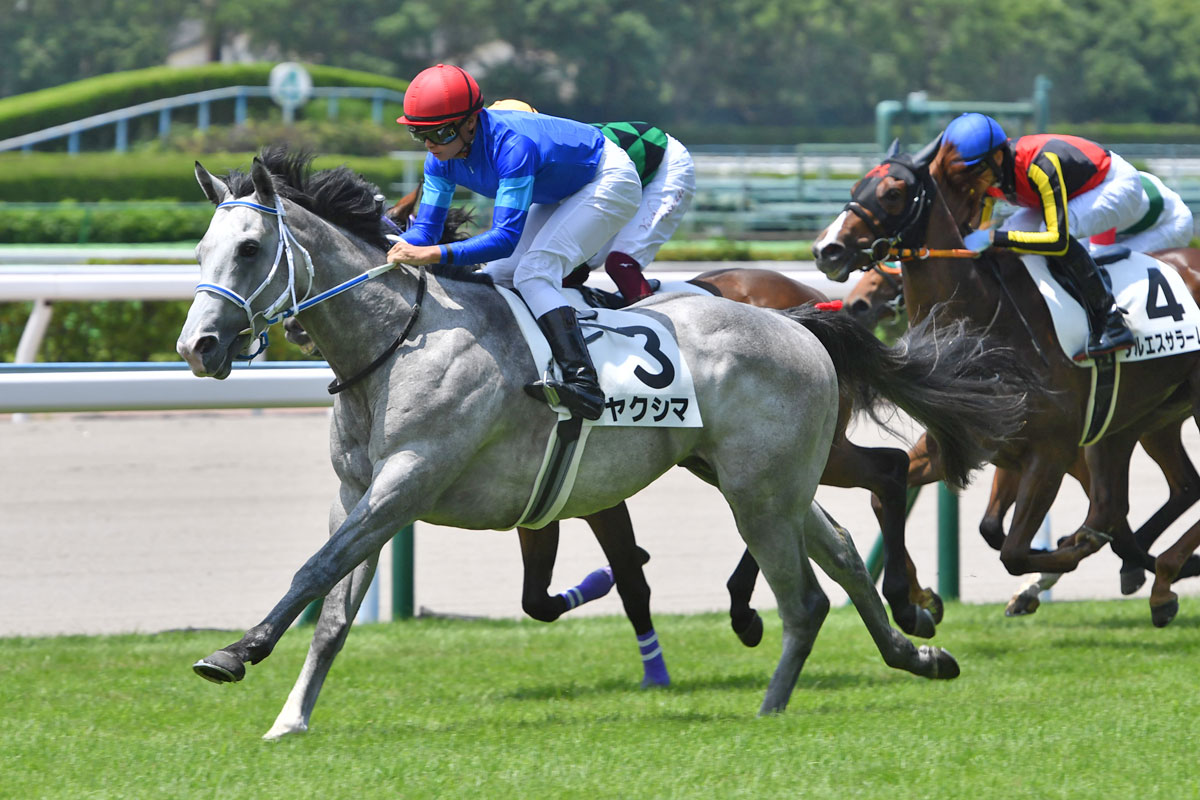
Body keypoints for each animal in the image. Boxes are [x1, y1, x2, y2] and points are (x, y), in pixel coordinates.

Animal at [177, 151, 1030, 735]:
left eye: (249, 249)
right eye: (199, 254)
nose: (199, 347)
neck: (402, 337)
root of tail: (799, 323)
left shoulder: (409, 480)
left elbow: (315, 569)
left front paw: (234, 654)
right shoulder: (360, 492)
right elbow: (332, 607)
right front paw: (290, 717)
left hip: (758, 491)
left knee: (810, 593)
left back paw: (776, 699)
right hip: (763, 481)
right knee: (845, 554)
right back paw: (916, 652)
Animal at [812, 139, 1200, 626]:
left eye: (893, 193)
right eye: (854, 187)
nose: (827, 249)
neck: (988, 320)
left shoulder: (1052, 452)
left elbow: (1014, 550)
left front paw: (1067, 556)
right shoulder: (972, 445)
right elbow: (914, 505)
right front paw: (922, 599)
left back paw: (1159, 573)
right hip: (1146, 420)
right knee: (1163, 491)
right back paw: (1155, 574)